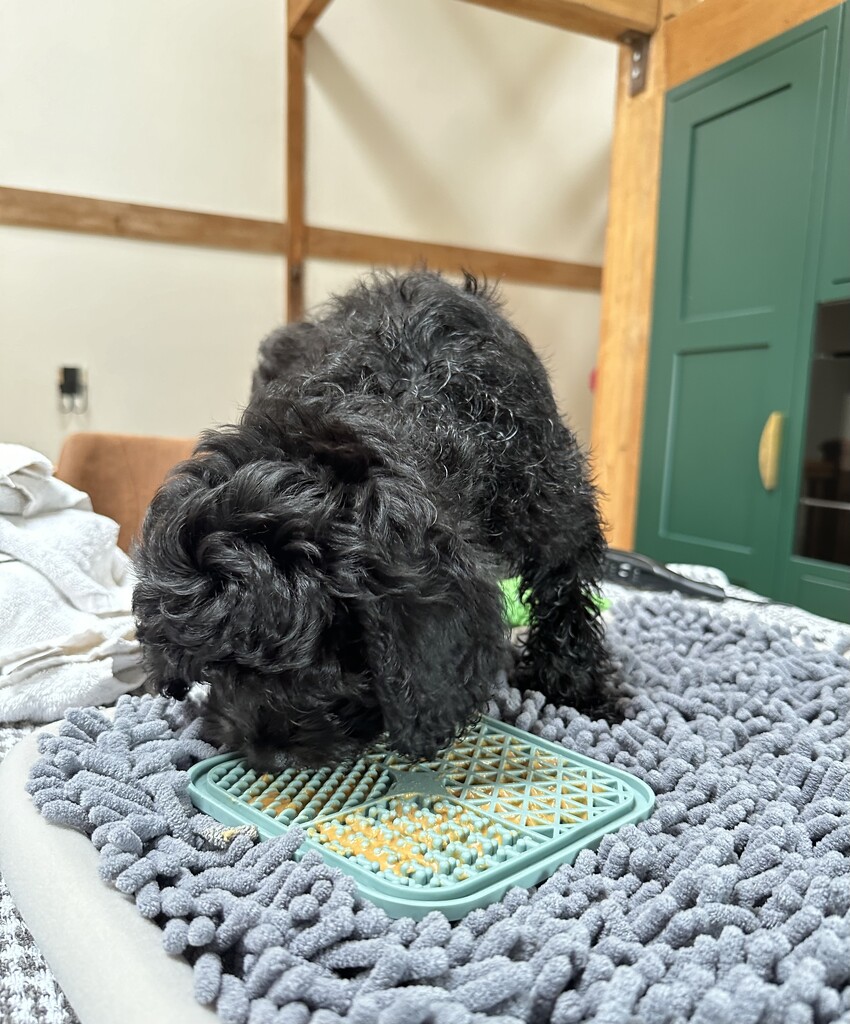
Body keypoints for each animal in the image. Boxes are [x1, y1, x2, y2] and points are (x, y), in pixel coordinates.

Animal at [133, 272, 614, 770]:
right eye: (216, 664)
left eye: (335, 654)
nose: (267, 755)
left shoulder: (554, 507)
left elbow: (565, 595)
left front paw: (576, 691)